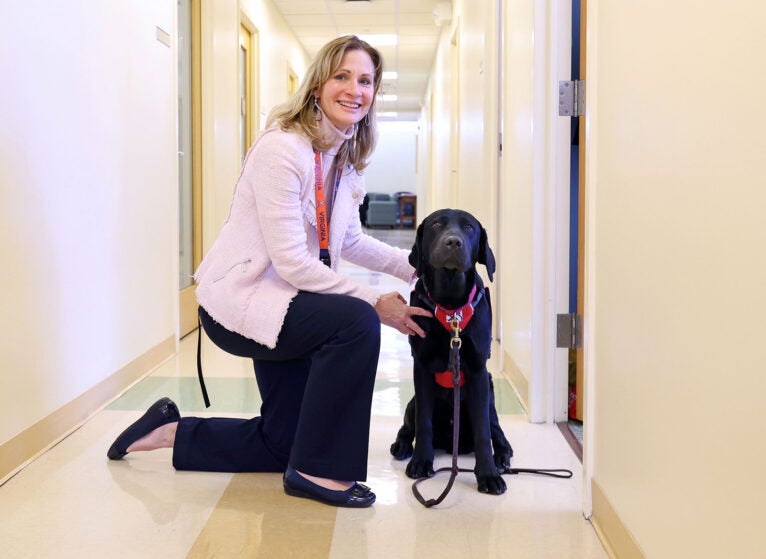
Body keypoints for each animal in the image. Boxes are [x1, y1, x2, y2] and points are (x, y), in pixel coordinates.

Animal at [392, 209, 512, 494]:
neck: (450, 304)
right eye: (436, 224)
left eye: (469, 228)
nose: (453, 242)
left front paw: (488, 474)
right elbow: (423, 423)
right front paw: (421, 462)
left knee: (497, 431)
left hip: (490, 398)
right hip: (412, 403)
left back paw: (502, 459)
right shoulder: (421, 367)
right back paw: (402, 446)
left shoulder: (478, 372)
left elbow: (483, 432)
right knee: (408, 426)